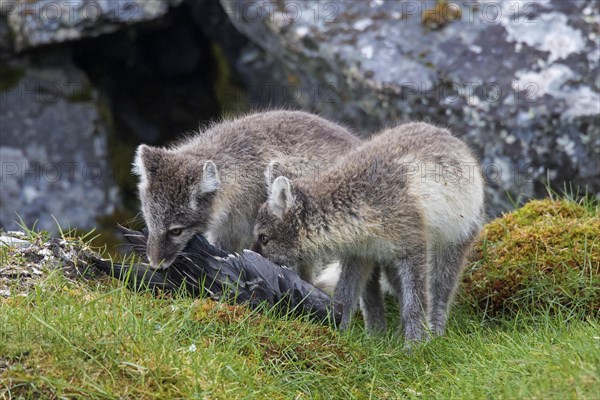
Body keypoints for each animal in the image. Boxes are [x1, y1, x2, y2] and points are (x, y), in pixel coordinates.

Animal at [252, 122, 482, 344]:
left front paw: (415, 346)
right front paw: (336, 334)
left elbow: (415, 305)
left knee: (439, 295)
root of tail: (453, 138)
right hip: (389, 264)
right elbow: (344, 297)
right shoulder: (359, 255)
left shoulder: (414, 248)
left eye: (264, 238)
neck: (359, 203)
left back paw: (435, 333)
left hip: (453, 245)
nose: (249, 258)